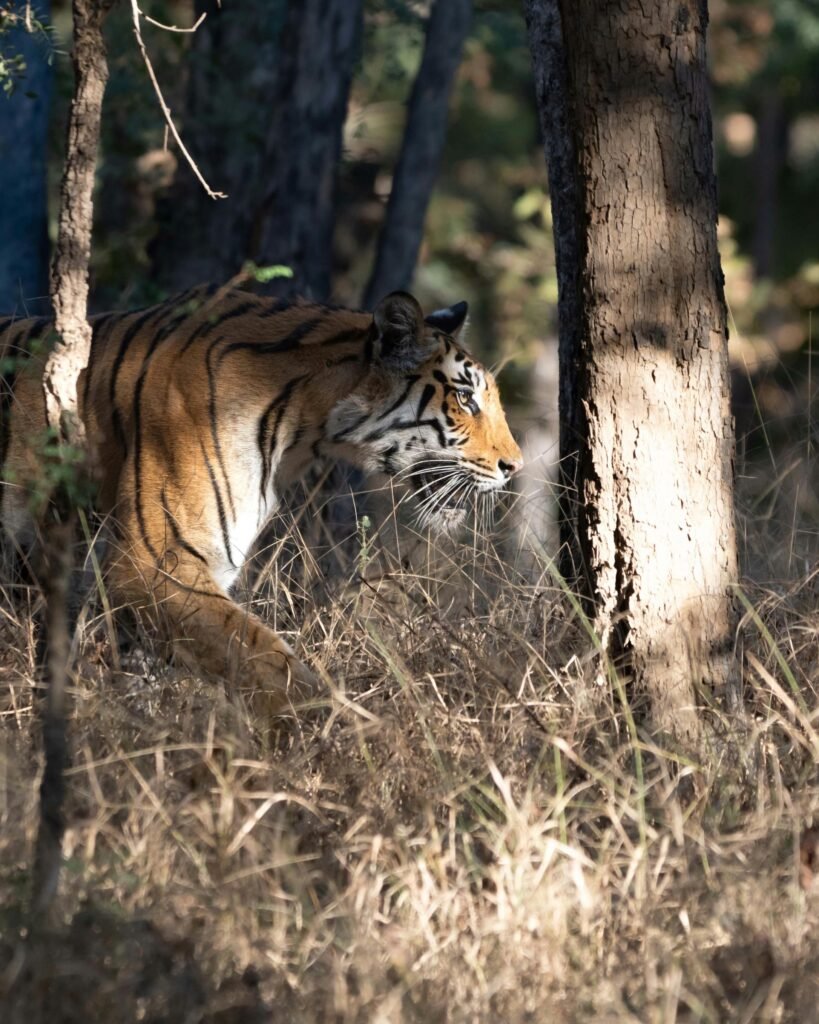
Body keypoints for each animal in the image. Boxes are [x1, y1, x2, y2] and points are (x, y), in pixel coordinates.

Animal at [0, 288, 522, 716]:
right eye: (465, 399)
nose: (514, 466)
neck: (305, 425)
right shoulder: (154, 562)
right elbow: (263, 655)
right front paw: (330, 733)